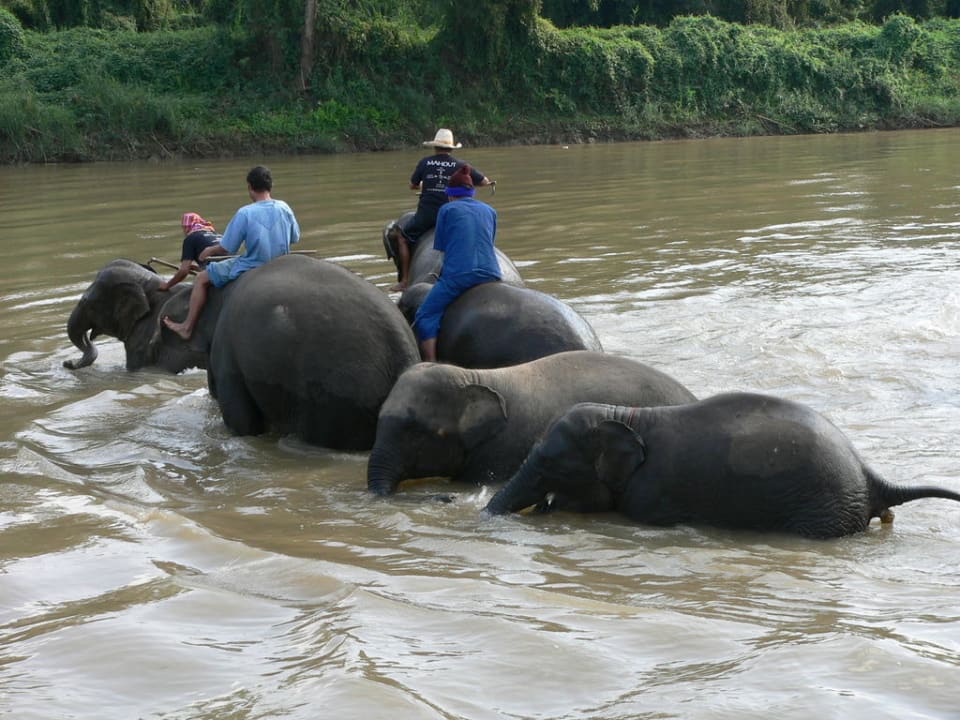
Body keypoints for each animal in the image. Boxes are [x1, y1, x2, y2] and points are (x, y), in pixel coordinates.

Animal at [65, 255, 421, 450]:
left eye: (87, 301)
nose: (68, 362)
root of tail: (404, 354)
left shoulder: (223, 347)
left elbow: (240, 420)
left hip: (333, 399)